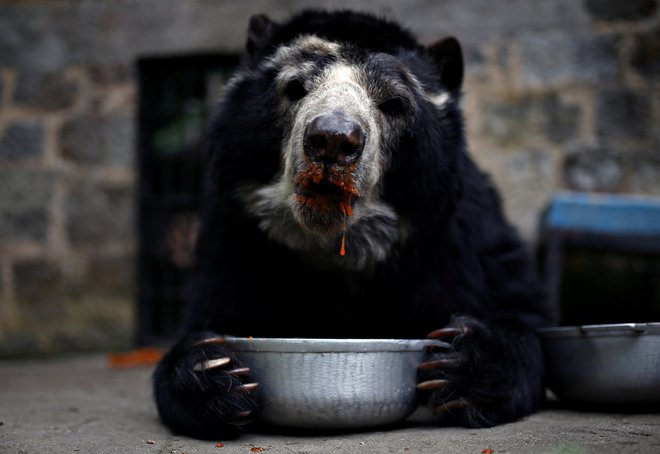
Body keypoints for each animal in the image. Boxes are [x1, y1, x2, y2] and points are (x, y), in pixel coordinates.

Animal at [152, 7, 556, 440]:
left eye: (394, 103)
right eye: (294, 88)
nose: (333, 139)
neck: (336, 249)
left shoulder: (459, 236)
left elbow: (520, 310)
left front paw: (460, 362)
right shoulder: (235, 236)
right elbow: (216, 310)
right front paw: (213, 369)